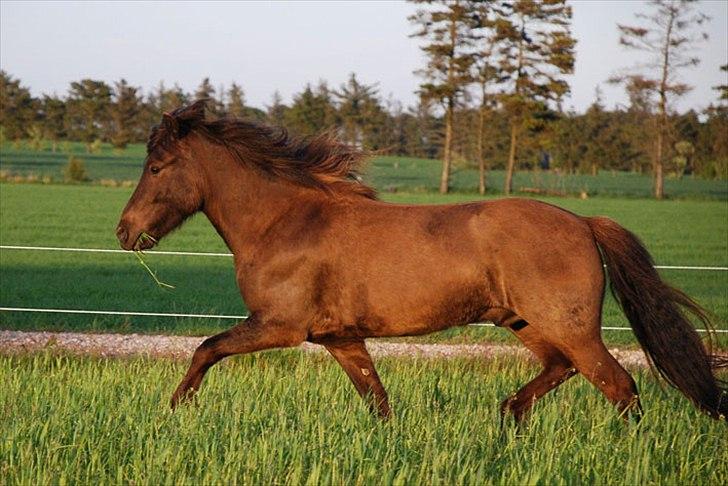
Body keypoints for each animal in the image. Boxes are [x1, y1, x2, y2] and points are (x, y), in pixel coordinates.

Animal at [116, 100, 724, 424]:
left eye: (157, 166)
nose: (125, 232)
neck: (285, 221)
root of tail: (583, 222)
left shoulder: (278, 326)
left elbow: (205, 349)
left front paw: (173, 411)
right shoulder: (341, 338)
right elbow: (377, 400)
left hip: (571, 327)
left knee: (620, 387)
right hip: (525, 323)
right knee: (562, 370)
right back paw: (507, 414)